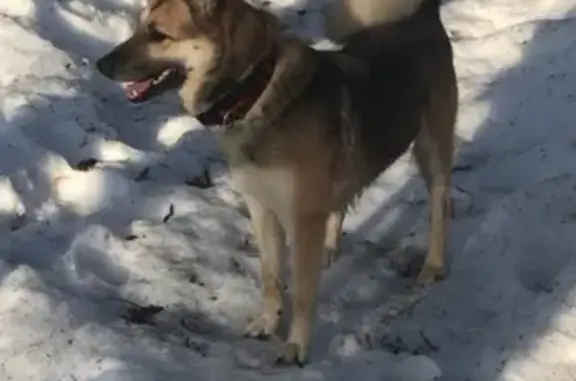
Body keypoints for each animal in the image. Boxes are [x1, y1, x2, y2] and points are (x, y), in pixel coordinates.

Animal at [97, 0, 456, 366]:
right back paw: (330, 246)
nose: (101, 65)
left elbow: (301, 291)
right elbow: (270, 275)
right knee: (341, 202)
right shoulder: (262, 206)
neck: (255, 90)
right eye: (141, 26)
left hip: (432, 149)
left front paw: (297, 345)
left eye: (158, 34)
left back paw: (433, 265)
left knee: (439, 204)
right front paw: (268, 322)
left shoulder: (302, 216)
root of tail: (423, 15)